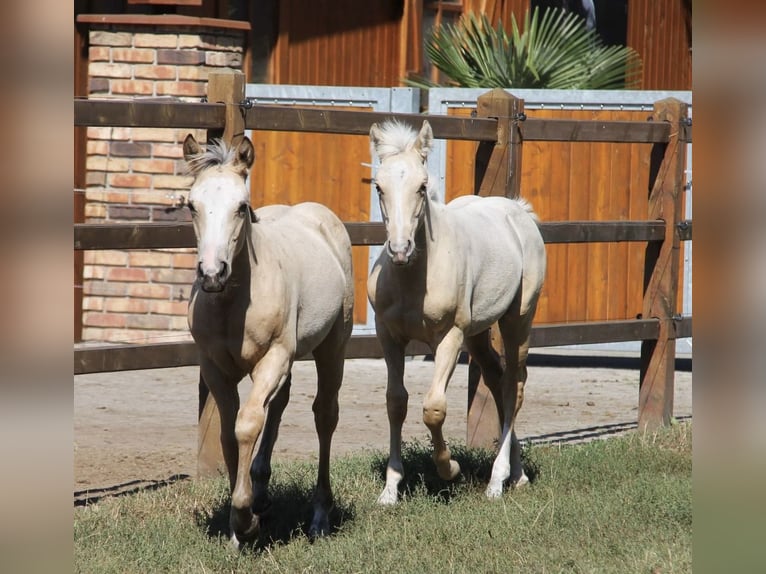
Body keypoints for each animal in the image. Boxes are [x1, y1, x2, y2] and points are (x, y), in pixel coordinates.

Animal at [182, 134, 354, 546]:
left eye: (242, 206)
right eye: (191, 205)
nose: (212, 274)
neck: (234, 303)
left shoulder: (273, 356)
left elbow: (247, 424)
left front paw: (246, 521)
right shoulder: (214, 367)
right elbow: (230, 436)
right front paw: (238, 525)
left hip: (333, 346)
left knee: (325, 415)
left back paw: (319, 518)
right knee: (278, 405)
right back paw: (261, 492)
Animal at [366, 120, 546, 503]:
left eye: (422, 186)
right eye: (379, 186)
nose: (400, 249)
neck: (414, 279)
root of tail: (519, 211)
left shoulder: (450, 337)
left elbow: (434, 407)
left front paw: (450, 469)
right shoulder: (388, 335)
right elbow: (395, 402)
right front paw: (390, 489)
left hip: (517, 319)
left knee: (514, 385)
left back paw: (497, 480)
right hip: (477, 333)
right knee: (496, 378)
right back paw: (518, 473)